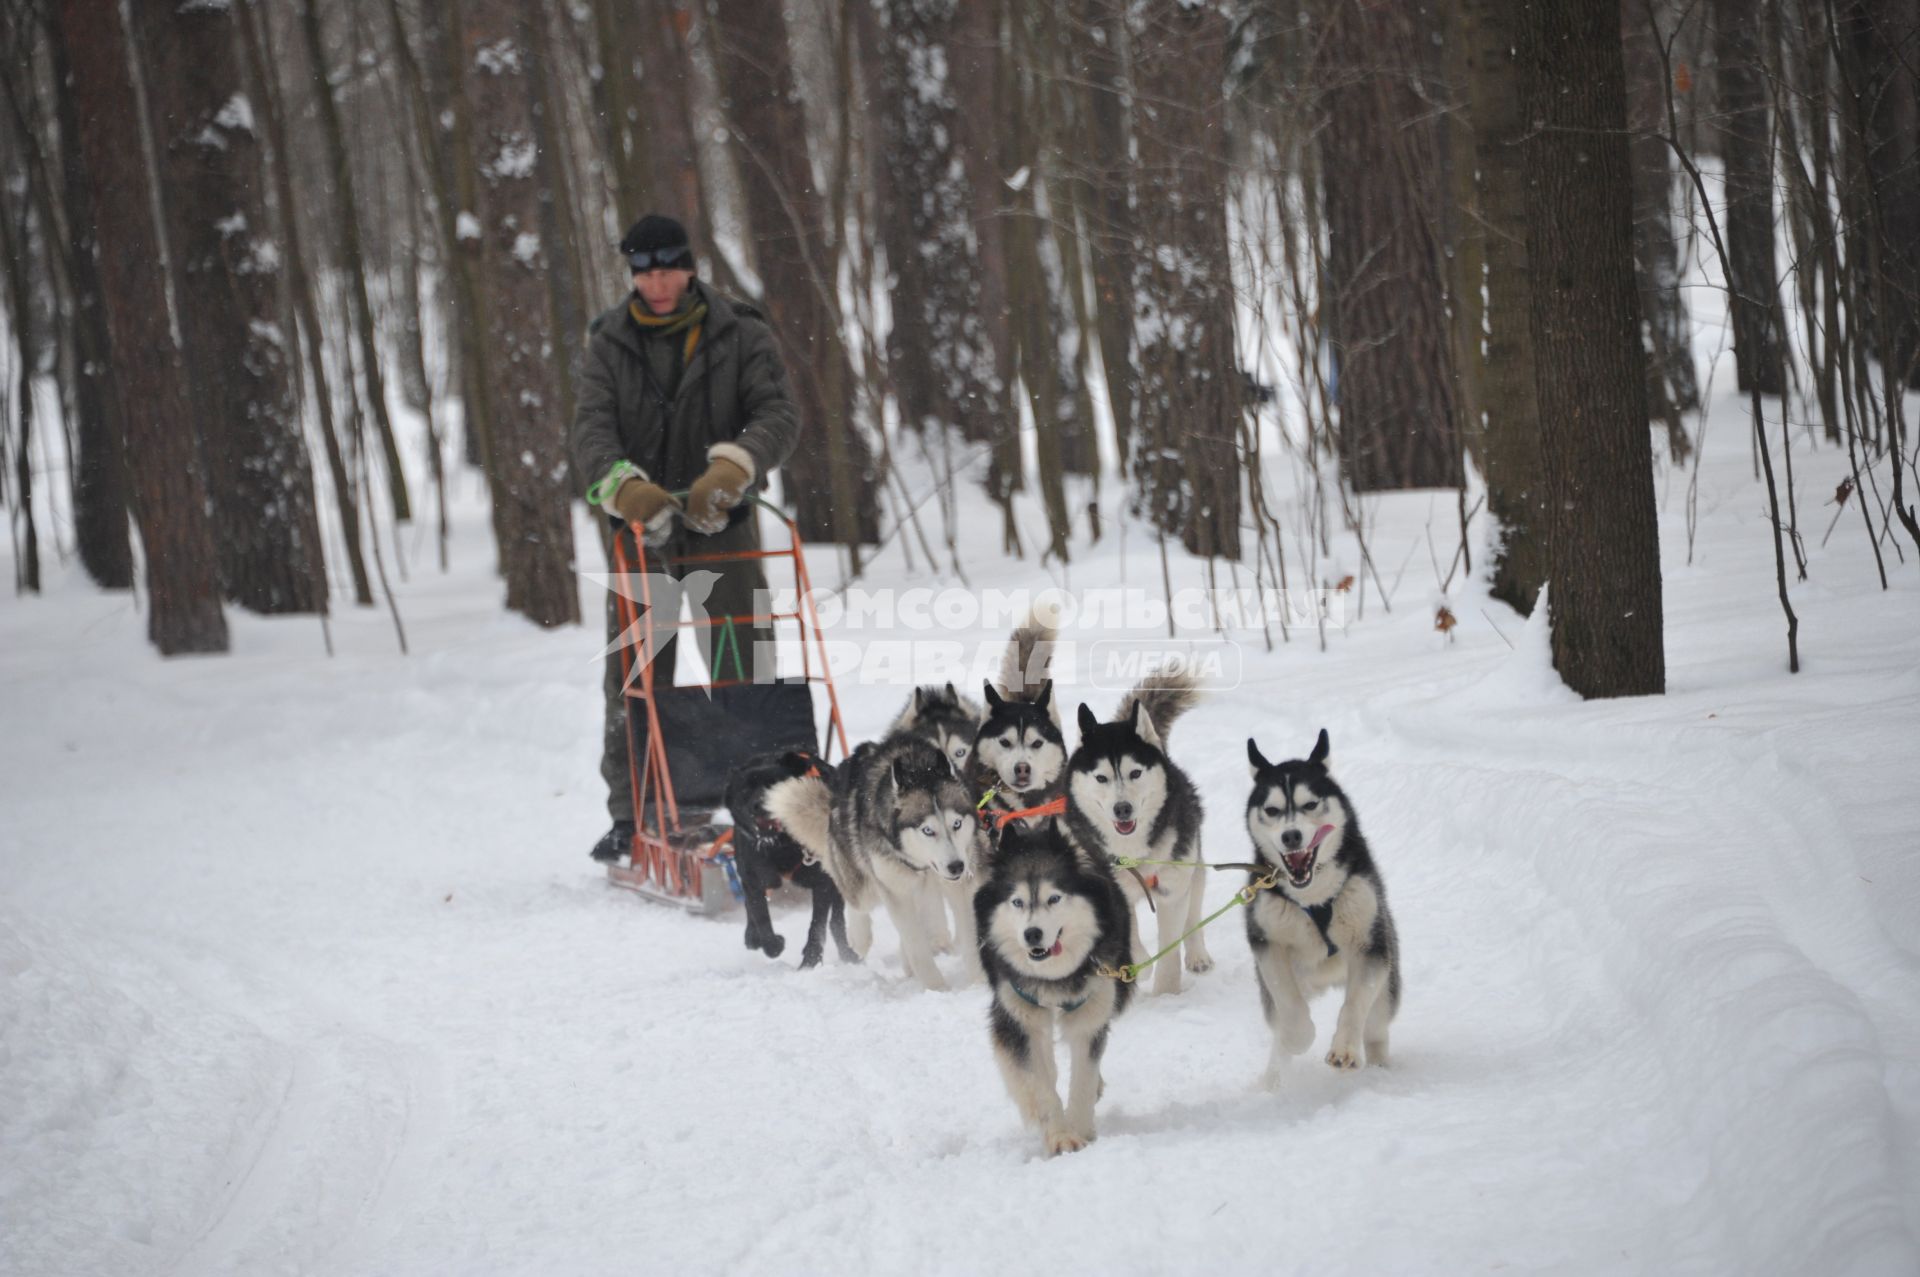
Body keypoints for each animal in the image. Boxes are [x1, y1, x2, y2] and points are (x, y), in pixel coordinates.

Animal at [725, 748, 856, 967]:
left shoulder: (823, 882)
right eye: (746, 789)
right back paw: (751, 937)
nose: (759, 805)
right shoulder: (753, 877)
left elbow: (818, 925)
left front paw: (810, 961)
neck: (782, 846)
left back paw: (848, 954)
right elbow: (759, 914)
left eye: (775, 784)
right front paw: (771, 943)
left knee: (836, 921)